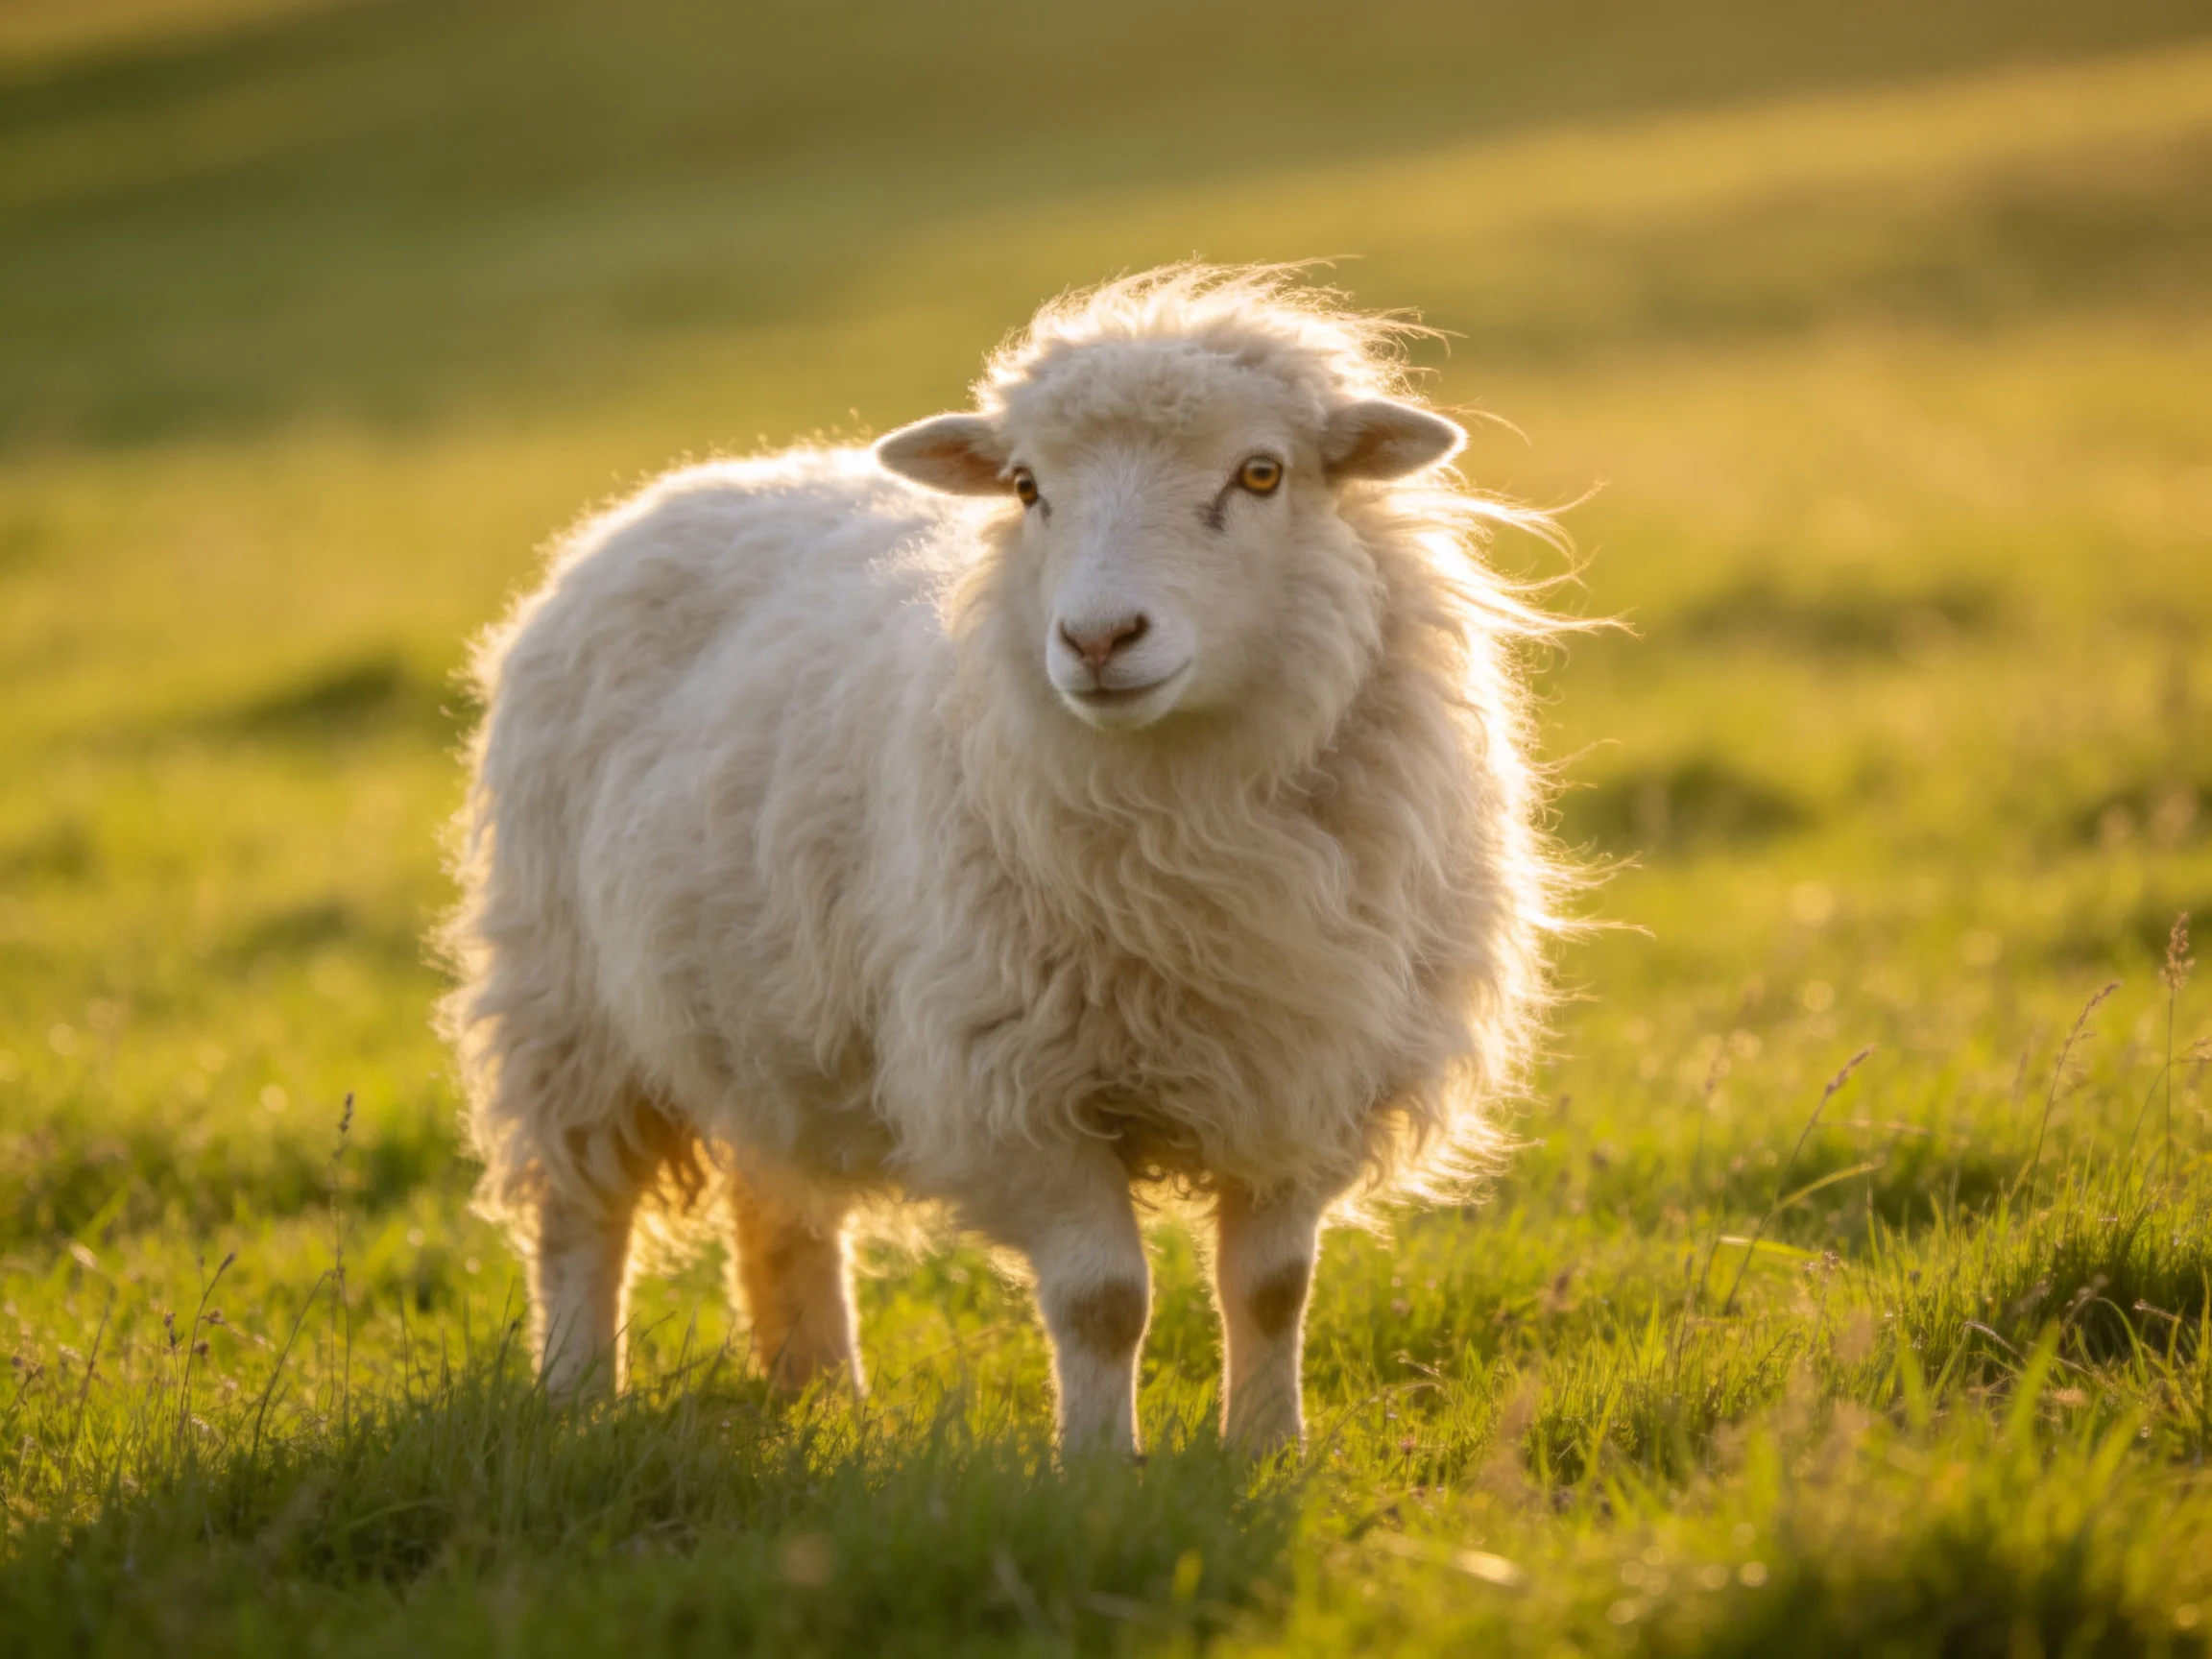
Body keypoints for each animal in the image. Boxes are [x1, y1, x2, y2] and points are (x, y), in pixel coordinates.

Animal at [440, 265, 1563, 1454]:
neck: (1187, 811)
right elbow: (1104, 1301)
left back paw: (823, 1398)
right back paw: (576, 1395)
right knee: (580, 1218)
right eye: (1027, 489)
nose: (1099, 640)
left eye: (1262, 473)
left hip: (761, 1011)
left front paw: (1267, 1452)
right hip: (567, 1003)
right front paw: (1100, 1467)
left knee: (779, 1204)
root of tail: (694, 481)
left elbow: (1272, 1288)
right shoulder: (1016, 1084)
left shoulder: (1304, 1066)